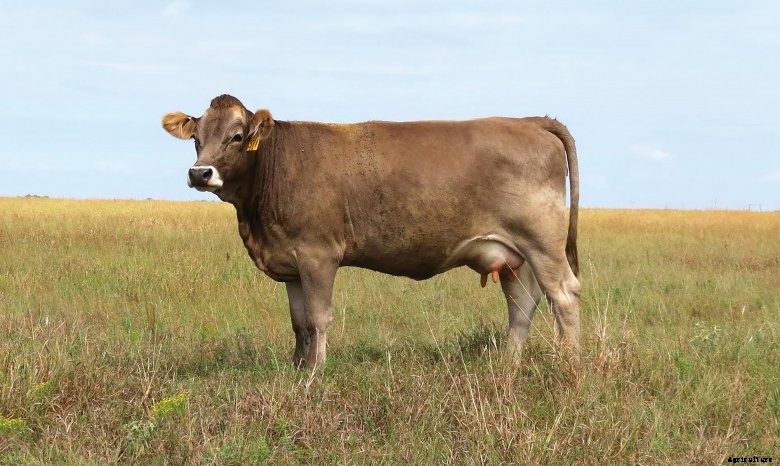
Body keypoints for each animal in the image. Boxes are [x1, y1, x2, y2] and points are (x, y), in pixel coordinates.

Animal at [162, 94, 581, 370]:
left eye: (236, 136)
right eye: (197, 138)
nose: (200, 173)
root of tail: (528, 120)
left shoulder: (317, 255)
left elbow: (318, 318)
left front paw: (314, 373)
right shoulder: (290, 262)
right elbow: (298, 322)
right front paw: (297, 368)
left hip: (543, 243)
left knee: (563, 296)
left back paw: (569, 363)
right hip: (514, 255)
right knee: (522, 304)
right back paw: (507, 367)